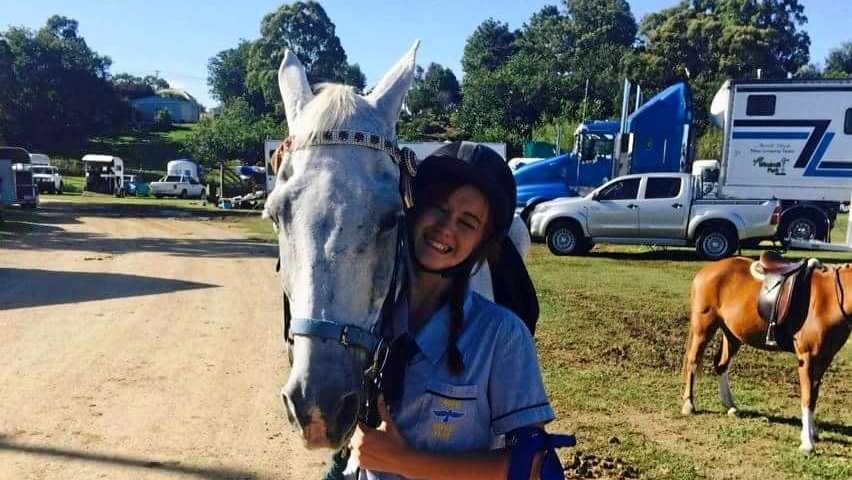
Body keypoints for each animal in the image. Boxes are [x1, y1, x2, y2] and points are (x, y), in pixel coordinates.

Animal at [684, 255, 848, 454]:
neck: (829, 299)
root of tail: (706, 270)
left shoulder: (824, 359)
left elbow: (813, 395)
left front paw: (812, 432)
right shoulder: (807, 357)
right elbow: (807, 397)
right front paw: (807, 443)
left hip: (732, 334)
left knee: (721, 365)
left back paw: (730, 406)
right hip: (703, 326)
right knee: (693, 361)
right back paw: (689, 405)